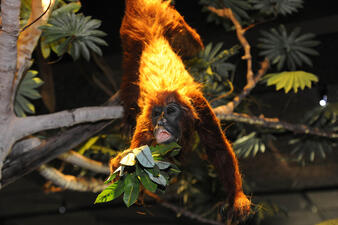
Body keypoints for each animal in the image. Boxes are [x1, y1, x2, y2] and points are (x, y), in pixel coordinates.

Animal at [111, 0, 251, 219]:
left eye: (170, 111)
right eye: (156, 113)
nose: (160, 121)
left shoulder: (200, 106)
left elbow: (218, 149)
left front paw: (237, 197)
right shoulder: (145, 125)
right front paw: (121, 165)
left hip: (170, 21)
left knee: (194, 45)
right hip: (131, 30)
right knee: (130, 69)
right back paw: (127, 117)